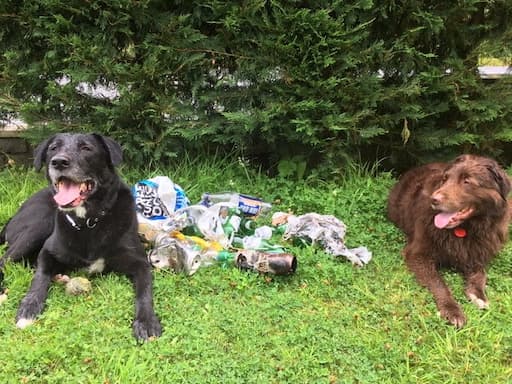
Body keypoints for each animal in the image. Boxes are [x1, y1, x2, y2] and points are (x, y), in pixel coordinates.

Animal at [0, 134, 162, 340]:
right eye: (53, 148)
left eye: (86, 148)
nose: (59, 162)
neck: (89, 221)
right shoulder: (47, 251)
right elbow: (39, 277)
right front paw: (29, 307)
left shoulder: (140, 262)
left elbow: (144, 291)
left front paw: (146, 321)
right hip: (39, 224)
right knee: (5, 260)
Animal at [390, 154, 510, 328]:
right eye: (445, 179)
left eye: (467, 181)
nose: (434, 199)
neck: (464, 229)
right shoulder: (418, 254)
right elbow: (438, 282)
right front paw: (452, 310)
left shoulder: (476, 253)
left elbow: (480, 274)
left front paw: (479, 295)